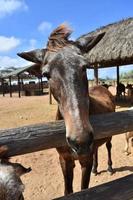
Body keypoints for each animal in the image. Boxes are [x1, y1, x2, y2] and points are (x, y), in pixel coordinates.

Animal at [17, 23, 115, 195]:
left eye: (85, 67)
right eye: (46, 74)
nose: (80, 141)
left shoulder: (85, 160)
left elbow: (84, 188)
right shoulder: (65, 160)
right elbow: (67, 191)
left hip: (108, 136)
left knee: (108, 146)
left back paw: (109, 167)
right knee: (97, 149)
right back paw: (96, 168)